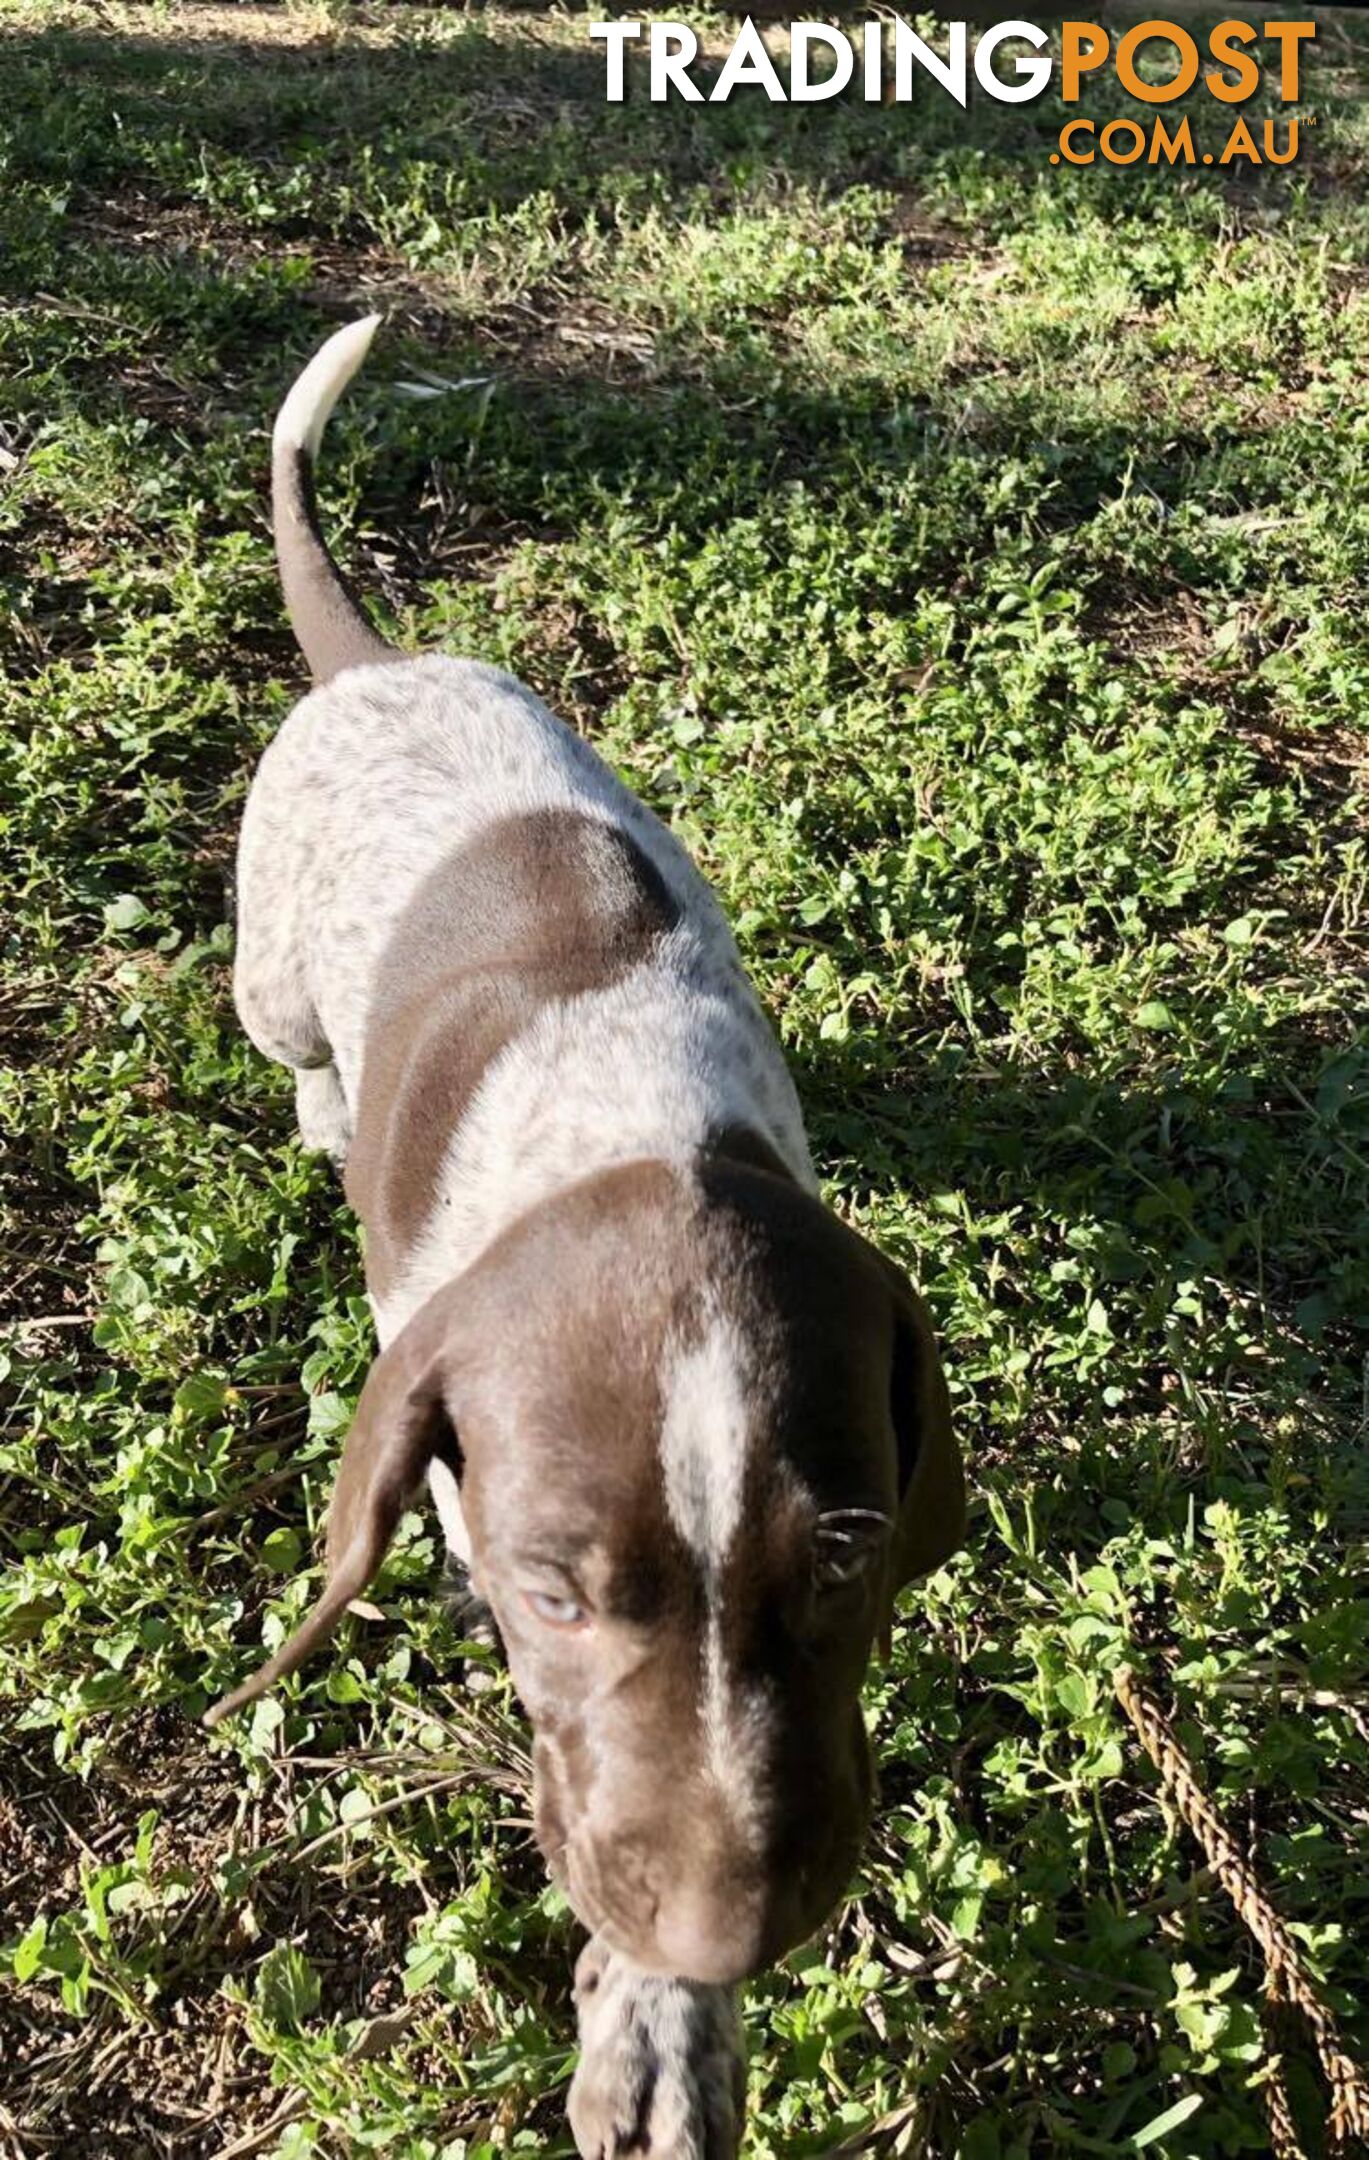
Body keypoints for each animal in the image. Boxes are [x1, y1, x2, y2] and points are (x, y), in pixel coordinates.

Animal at [208, 319, 963, 2160]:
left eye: (842, 1559)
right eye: (547, 1597)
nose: (728, 1937)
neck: (628, 1137)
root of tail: (379, 665)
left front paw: (666, 2022)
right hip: (266, 972)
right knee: (293, 1038)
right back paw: (321, 1106)